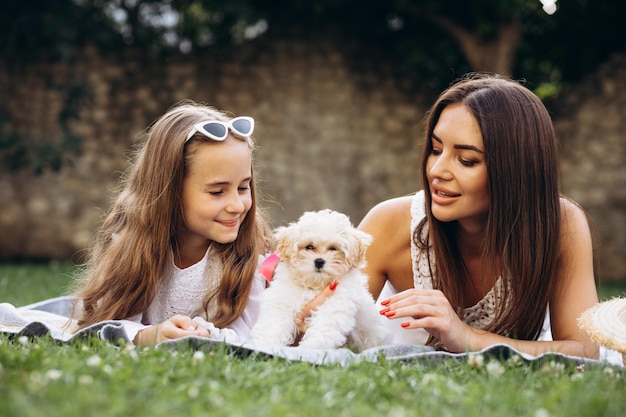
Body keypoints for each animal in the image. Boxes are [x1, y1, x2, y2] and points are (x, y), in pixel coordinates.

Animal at [249, 210, 386, 350]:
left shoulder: (335, 306)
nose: (319, 261)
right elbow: (273, 324)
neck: (314, 286)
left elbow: (323, 328)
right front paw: (264, 344)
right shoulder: (282, 300)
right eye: (309, 247)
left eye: (333, 248)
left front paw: (312, 347)